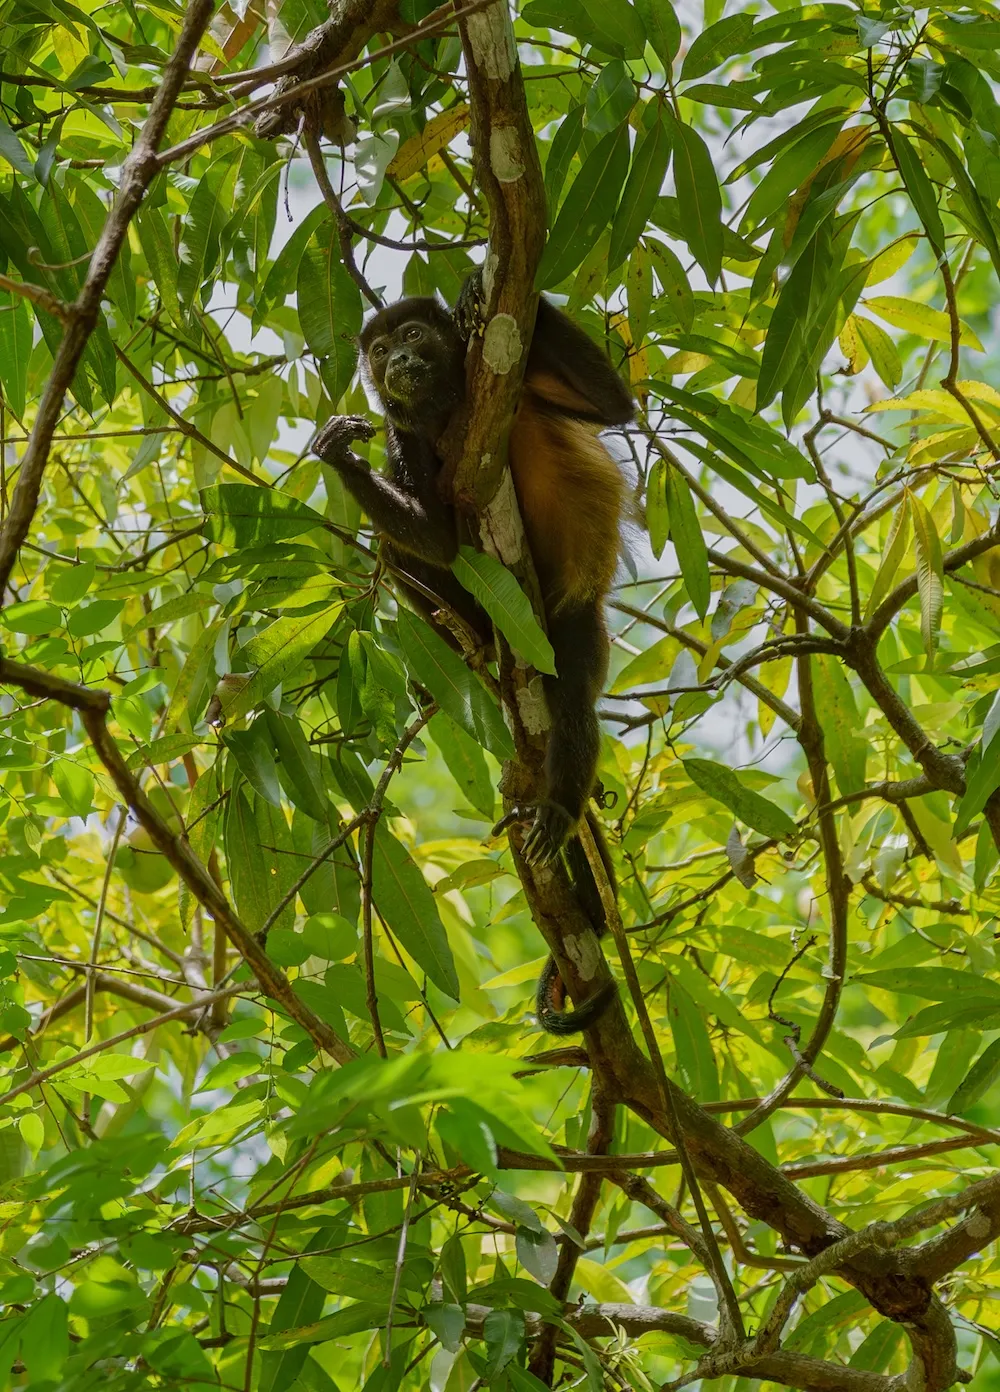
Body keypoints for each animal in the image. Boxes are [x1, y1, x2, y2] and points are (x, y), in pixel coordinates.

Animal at [311, 274, 633, 1032]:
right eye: (378, 350)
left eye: (412, 336)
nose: (396, 361)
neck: (450, 405)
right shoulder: (401, 438)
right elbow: (432, 539)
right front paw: (335, 451)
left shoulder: (524, 379)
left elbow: (614, 404)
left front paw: (471, 293)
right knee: (399, 550)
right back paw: (467, 642)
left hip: (575, 627)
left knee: (571, 699)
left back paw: (559, 810)